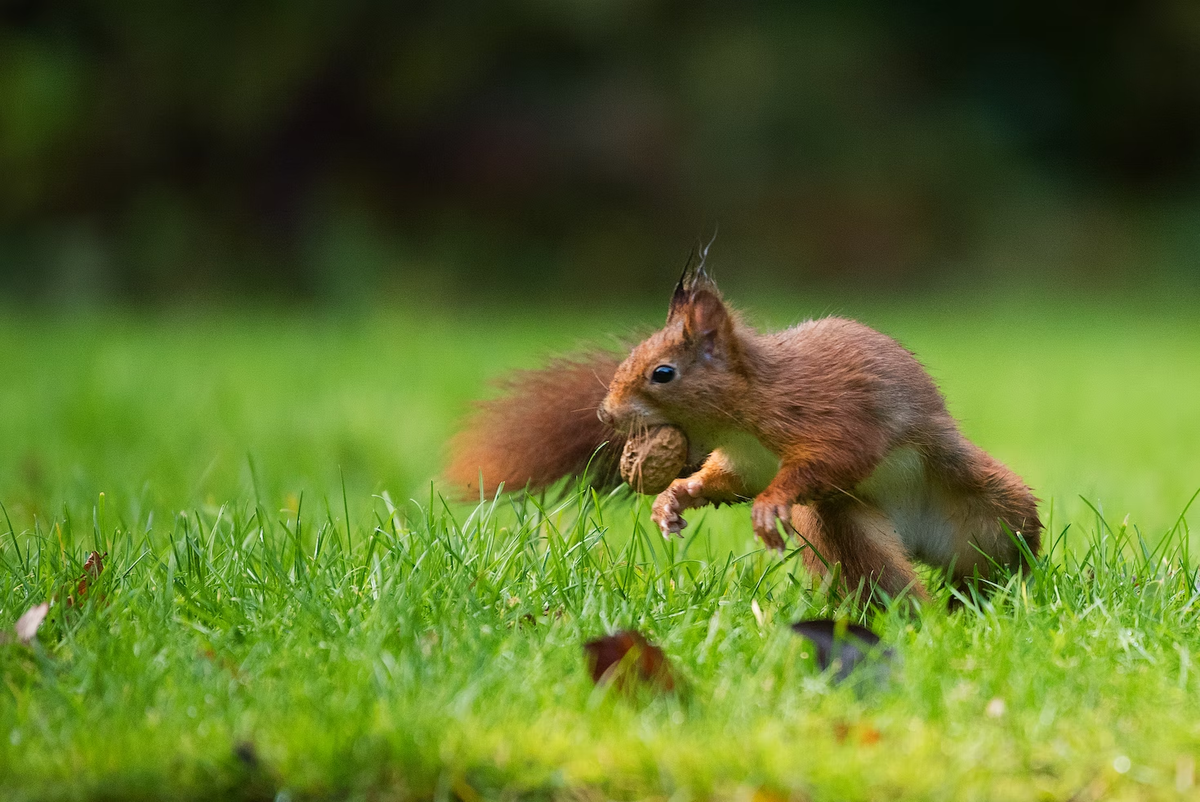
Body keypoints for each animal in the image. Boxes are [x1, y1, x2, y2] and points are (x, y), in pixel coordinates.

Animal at [448, 260, 1041, 597]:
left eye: (663, 373)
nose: (605, 415)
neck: (740, 419)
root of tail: (916, 535)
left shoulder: (831, 415)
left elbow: (830, 458)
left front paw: (770, 504)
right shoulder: (742, 461)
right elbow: (721, 483)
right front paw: (673, 499)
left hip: (987, 507)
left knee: (1003, 548)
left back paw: (1008, 590)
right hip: (845, 529)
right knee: (882, 575)